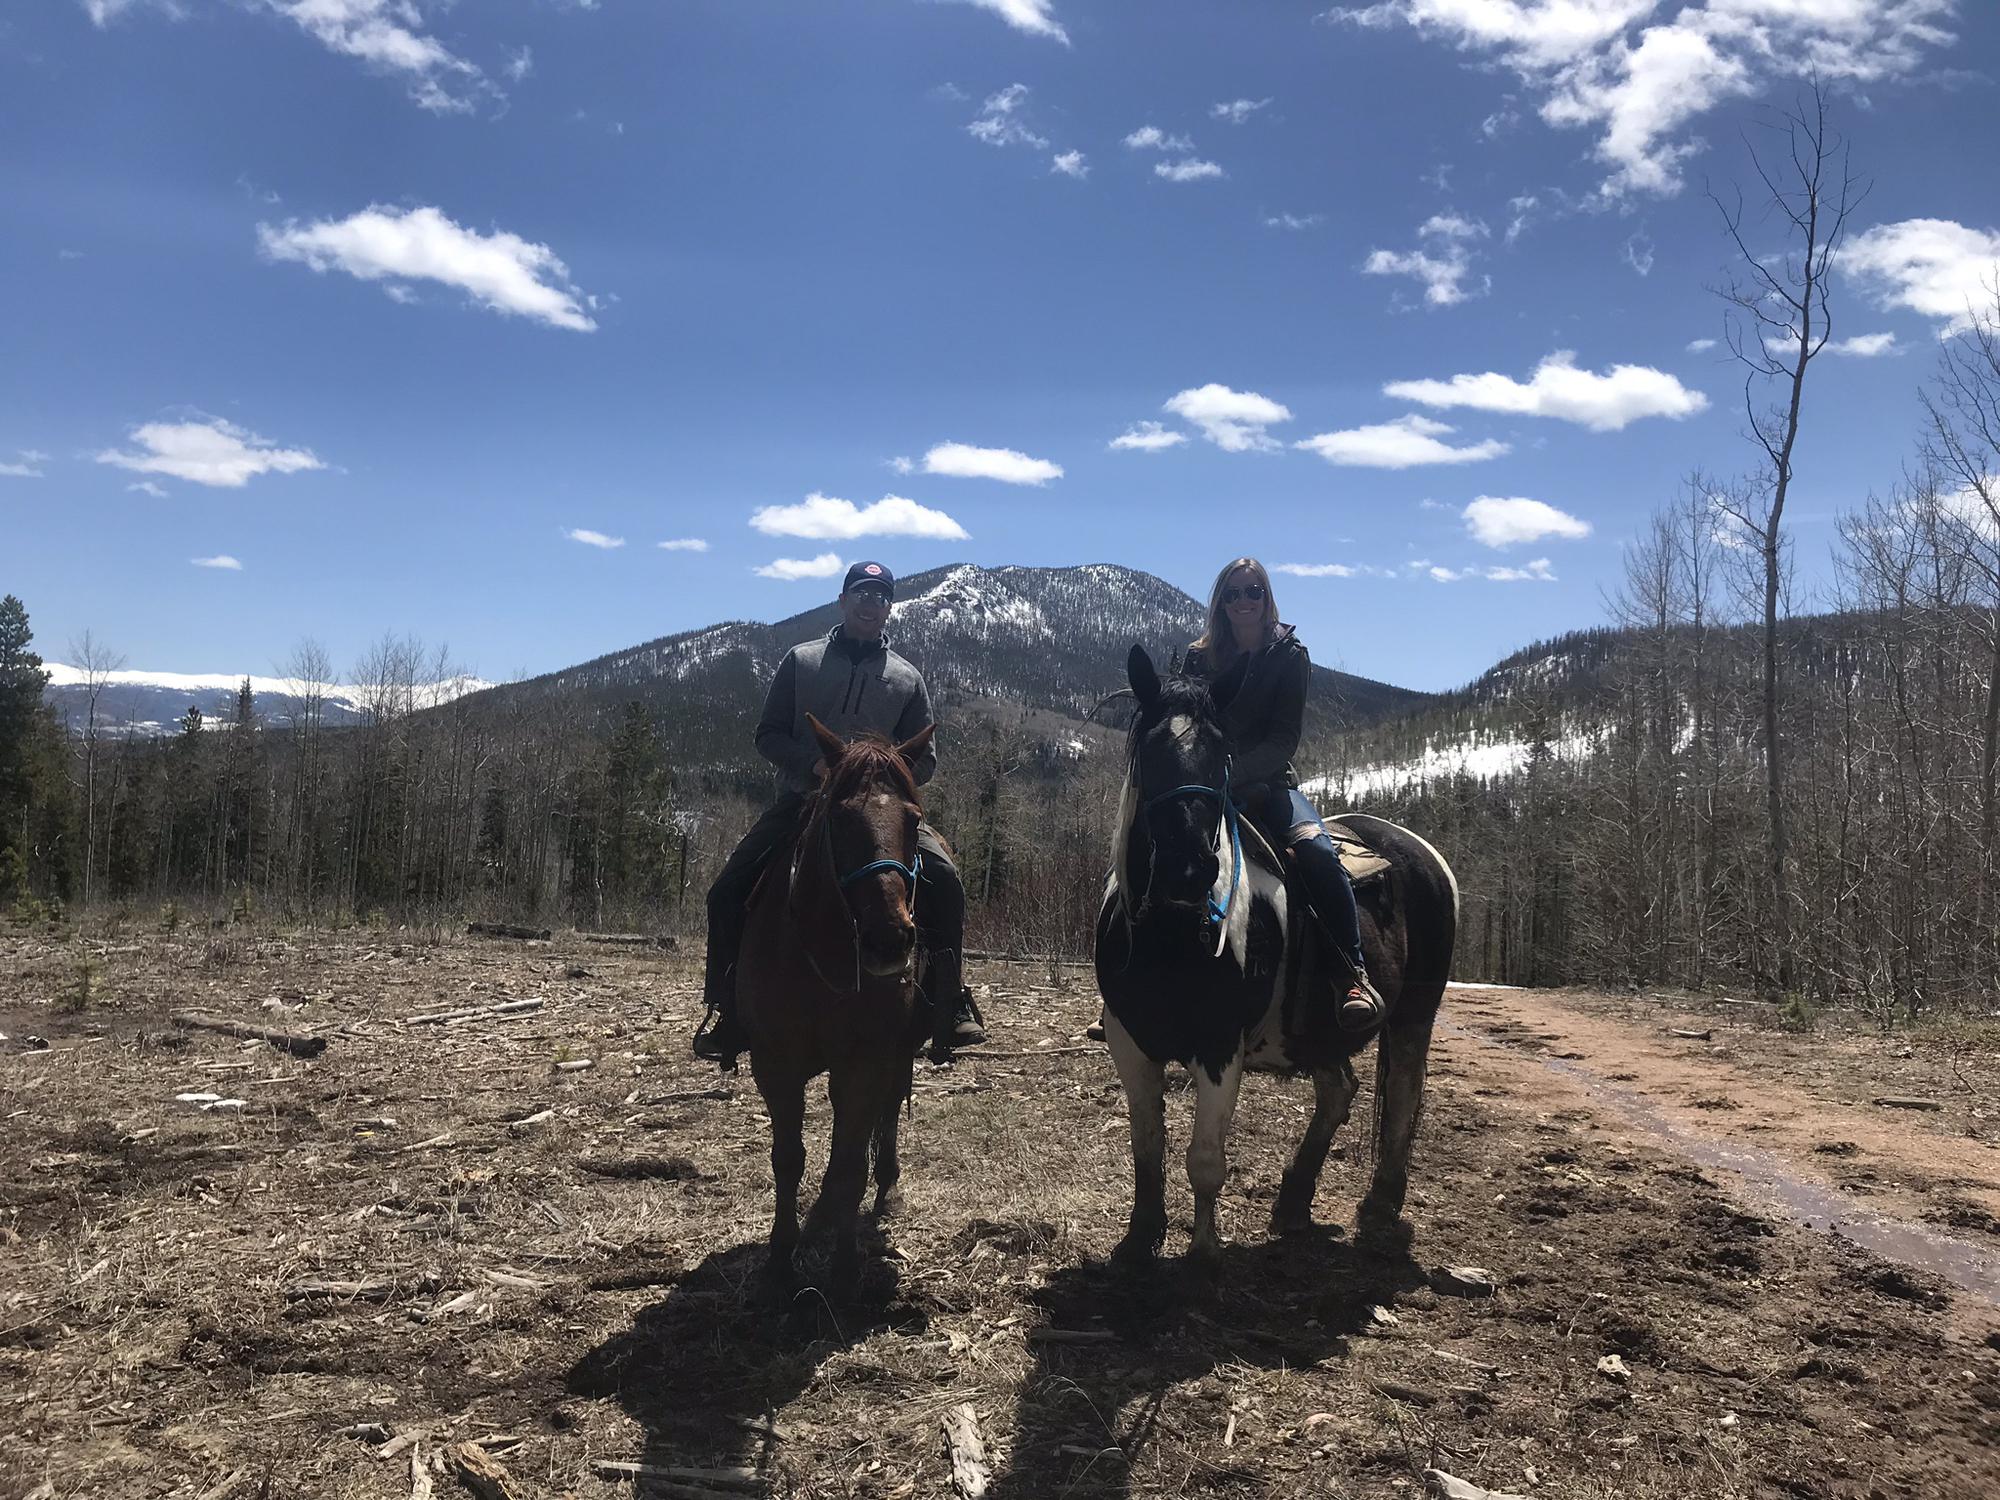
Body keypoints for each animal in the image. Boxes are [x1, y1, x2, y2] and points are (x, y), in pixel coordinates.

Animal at [736, 712, 936, 1296]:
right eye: (841, 819)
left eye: (914, 820)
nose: (889, 941)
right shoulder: (775, 1064)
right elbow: (788, 1159)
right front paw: (779, 1263)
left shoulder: (866, 1060)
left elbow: (849, 1163)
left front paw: (846, 1271)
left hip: (896, 1053)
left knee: (882, 1118)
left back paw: (883, 1191)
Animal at [1096, 648, 1456, 1272]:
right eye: (1151, 750)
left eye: (1222, 753)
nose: (1189, 870)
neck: (1171, 932)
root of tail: (1420, 849)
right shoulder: (1129, 1042)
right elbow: (1146, 1146)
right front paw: (1140, 1239)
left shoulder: (1220, 1047)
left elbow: (1205, 1159)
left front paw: (1205, 1253)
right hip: (1320, 1031)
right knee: (1339, 1091)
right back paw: (1293, 1203)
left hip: (1414, 1015)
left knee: (1403, 1097)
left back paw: (1380, 1205)